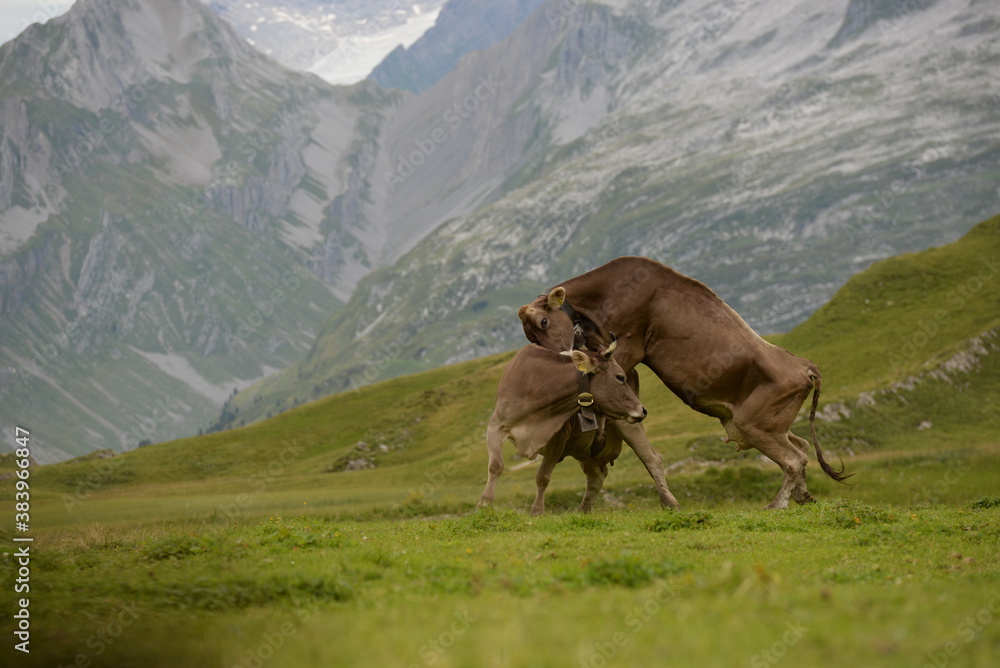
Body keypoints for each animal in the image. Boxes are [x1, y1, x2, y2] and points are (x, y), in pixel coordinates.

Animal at [476, 342, 648, 516]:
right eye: (620, 377)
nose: (642, 409)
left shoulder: (558, 439)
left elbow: (543, 477)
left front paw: (537, 512)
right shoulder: (496, 427)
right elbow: (495, 466)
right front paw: (484, 504)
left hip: (630, 429)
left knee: (650, 459)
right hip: (584, 451)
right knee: (596, 476)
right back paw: (583, 511)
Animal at [516, 256, 852, 506]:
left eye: (544, 321)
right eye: (531, 337)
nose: (556, 360)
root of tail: (804, 365)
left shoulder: (627, 348)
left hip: (756, 424)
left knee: (794, 459)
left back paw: (776, 504)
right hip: (770, 424)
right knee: (803, 447)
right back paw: (803, 496)